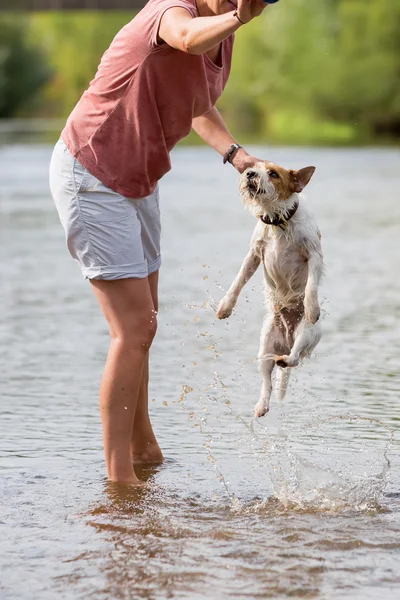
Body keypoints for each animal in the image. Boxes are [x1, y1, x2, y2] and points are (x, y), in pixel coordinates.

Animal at [217, 162, 324, 420]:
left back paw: (287, 358)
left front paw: (312, 307)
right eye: (252, 167)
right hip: (265, 348)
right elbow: (238, 281)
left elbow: (311, 285)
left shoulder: (314, 255)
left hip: (306, 334)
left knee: (294, 359)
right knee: (267, 381)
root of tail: (285, 344)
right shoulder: (254, 255)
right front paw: (226, 306)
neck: (279, 221)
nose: (249, 173)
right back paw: (261, 405)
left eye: (273, 173)